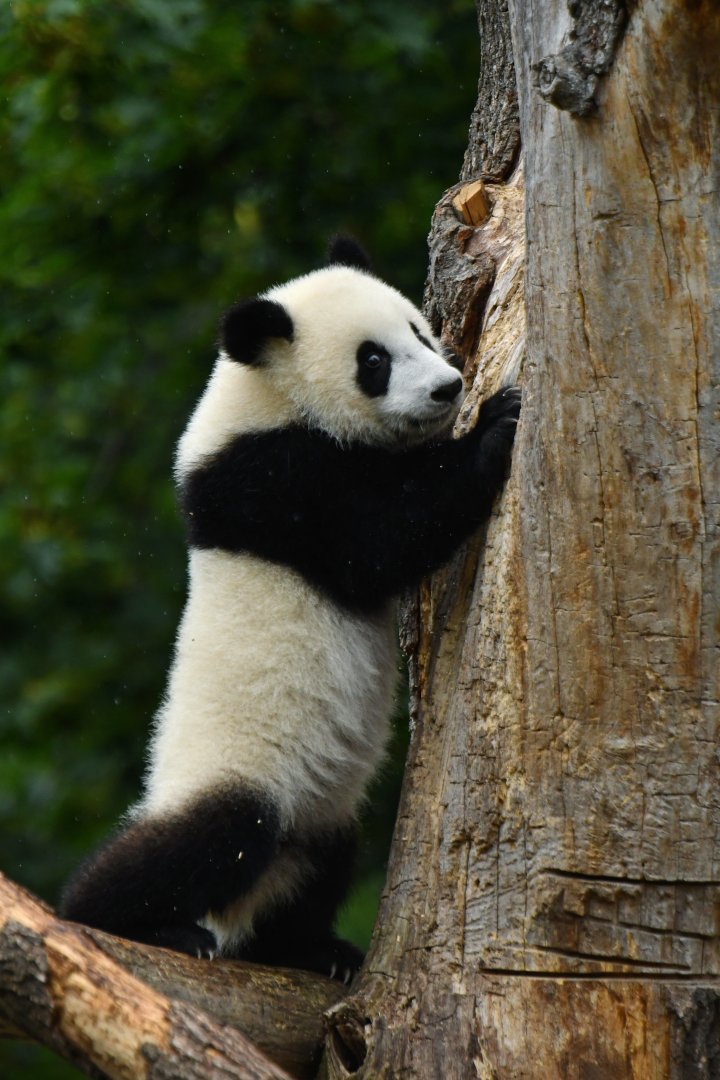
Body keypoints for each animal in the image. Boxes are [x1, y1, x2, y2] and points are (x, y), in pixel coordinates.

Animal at [61, 237, 521, 982]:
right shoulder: (272, 481)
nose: (449, 387)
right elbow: (379, 541)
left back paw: (313, 950)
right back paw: (131, 924)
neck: (266, 396)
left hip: (323, 813)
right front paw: (495, 425)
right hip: (237, 768)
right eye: (373, 360)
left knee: (320, 866)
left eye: (419, 331)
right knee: (203, 839)